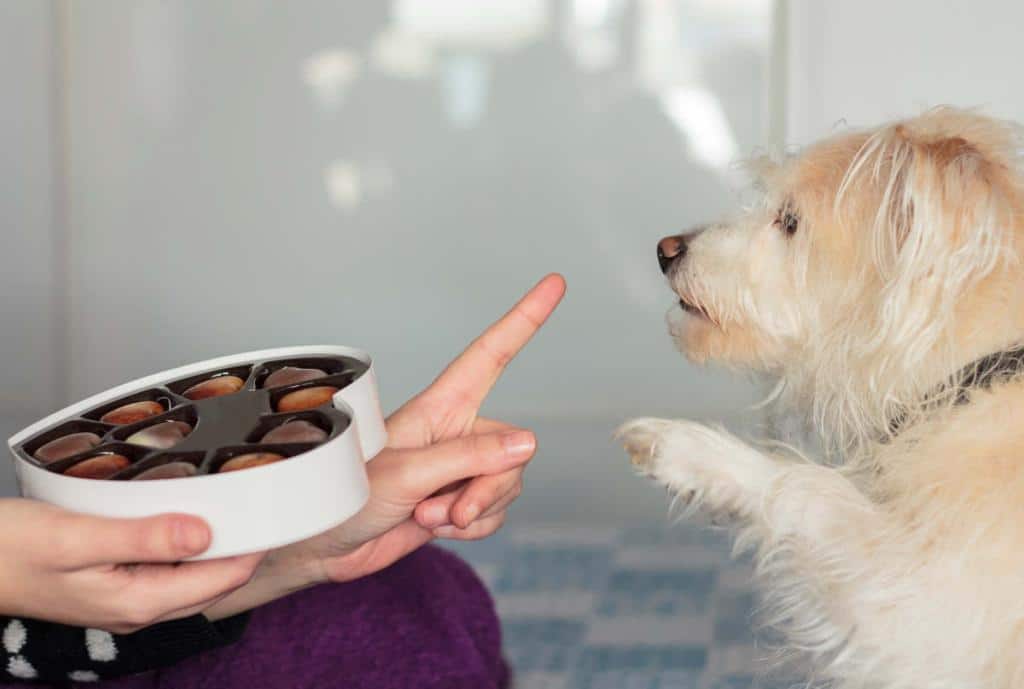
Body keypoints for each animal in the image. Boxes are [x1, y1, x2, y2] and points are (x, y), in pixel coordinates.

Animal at [618, 107, 1024, 687]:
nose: (664, 250)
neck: (977, 374)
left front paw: (688, 450)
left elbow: (811, 487)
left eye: (790, 222)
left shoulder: (922, 609)